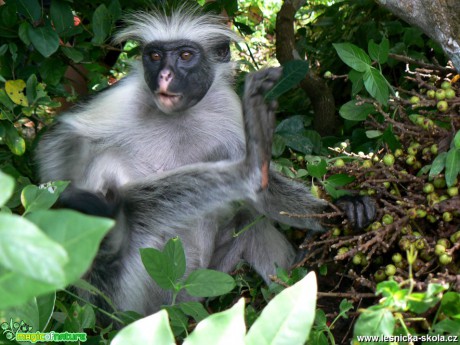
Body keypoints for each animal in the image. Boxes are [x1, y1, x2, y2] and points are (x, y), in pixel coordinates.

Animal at [35, 6, 374, 322]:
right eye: (154, 56)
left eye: (185, 55)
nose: (164, 75)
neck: (179, 116)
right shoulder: (125, 97)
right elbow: (57, 143)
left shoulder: (225, 105)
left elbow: (264, 191)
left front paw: (342, 208)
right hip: (139, 297)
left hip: (212, 277)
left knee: (251, 220)